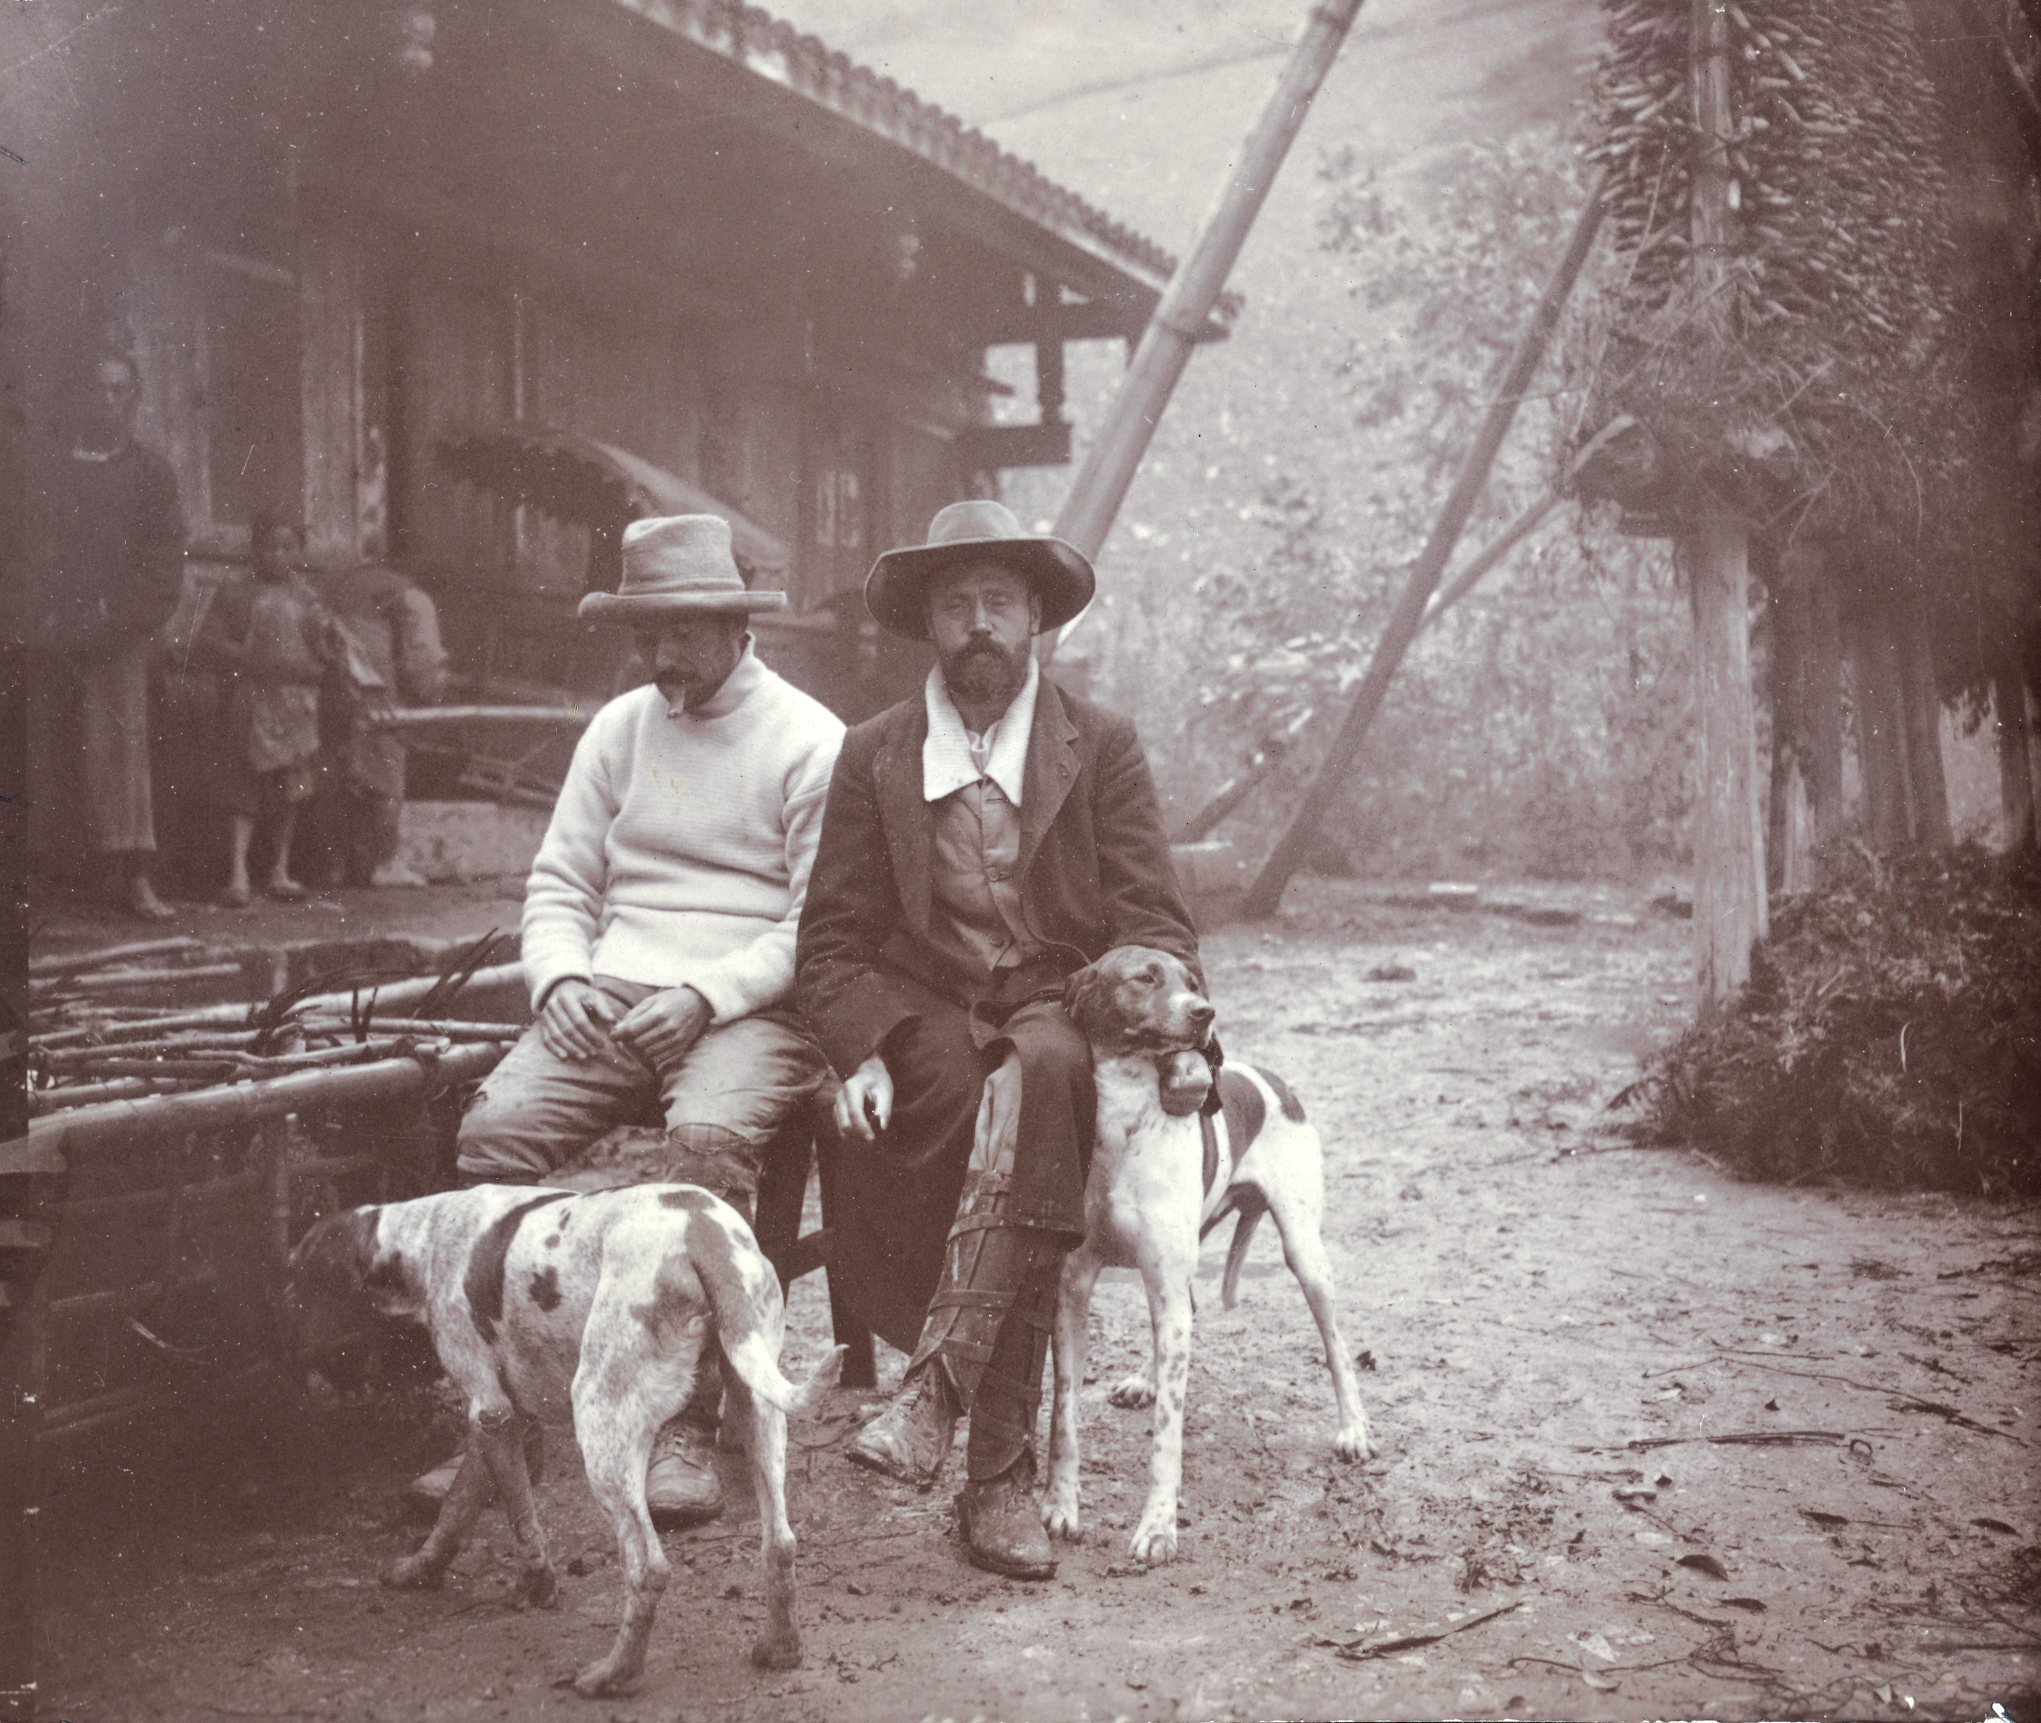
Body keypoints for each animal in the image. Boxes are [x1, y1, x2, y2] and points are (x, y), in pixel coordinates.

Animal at [287, 1184, 836, 1698]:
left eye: (302, 1275)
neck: (425, 1235)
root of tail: (700, 1231)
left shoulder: (490, 1412)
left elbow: (522, 1522)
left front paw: (535, 1586)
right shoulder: (500, 1416)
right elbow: (457, 1507)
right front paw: (423, 1568)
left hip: (599, 1419)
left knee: (649, 1569)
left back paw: (616, 1673)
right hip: (757, 1406)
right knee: (780, 1543)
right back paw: (780, 1648)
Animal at [1044, 947, 1363, 1567]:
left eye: (1193, 980)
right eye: (1144, 977)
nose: (1204, 1012)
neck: (1125, 1123)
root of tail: (1271, 1079)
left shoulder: (1164, 1285)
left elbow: (1167, 1435)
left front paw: (1158, 1528)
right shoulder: (1071, 1290)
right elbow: (1064, 1418)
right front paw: (1061, 1507)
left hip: (1305, 1256)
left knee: (1337, 1346)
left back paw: (1355, 1429)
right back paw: (1144, 1379)